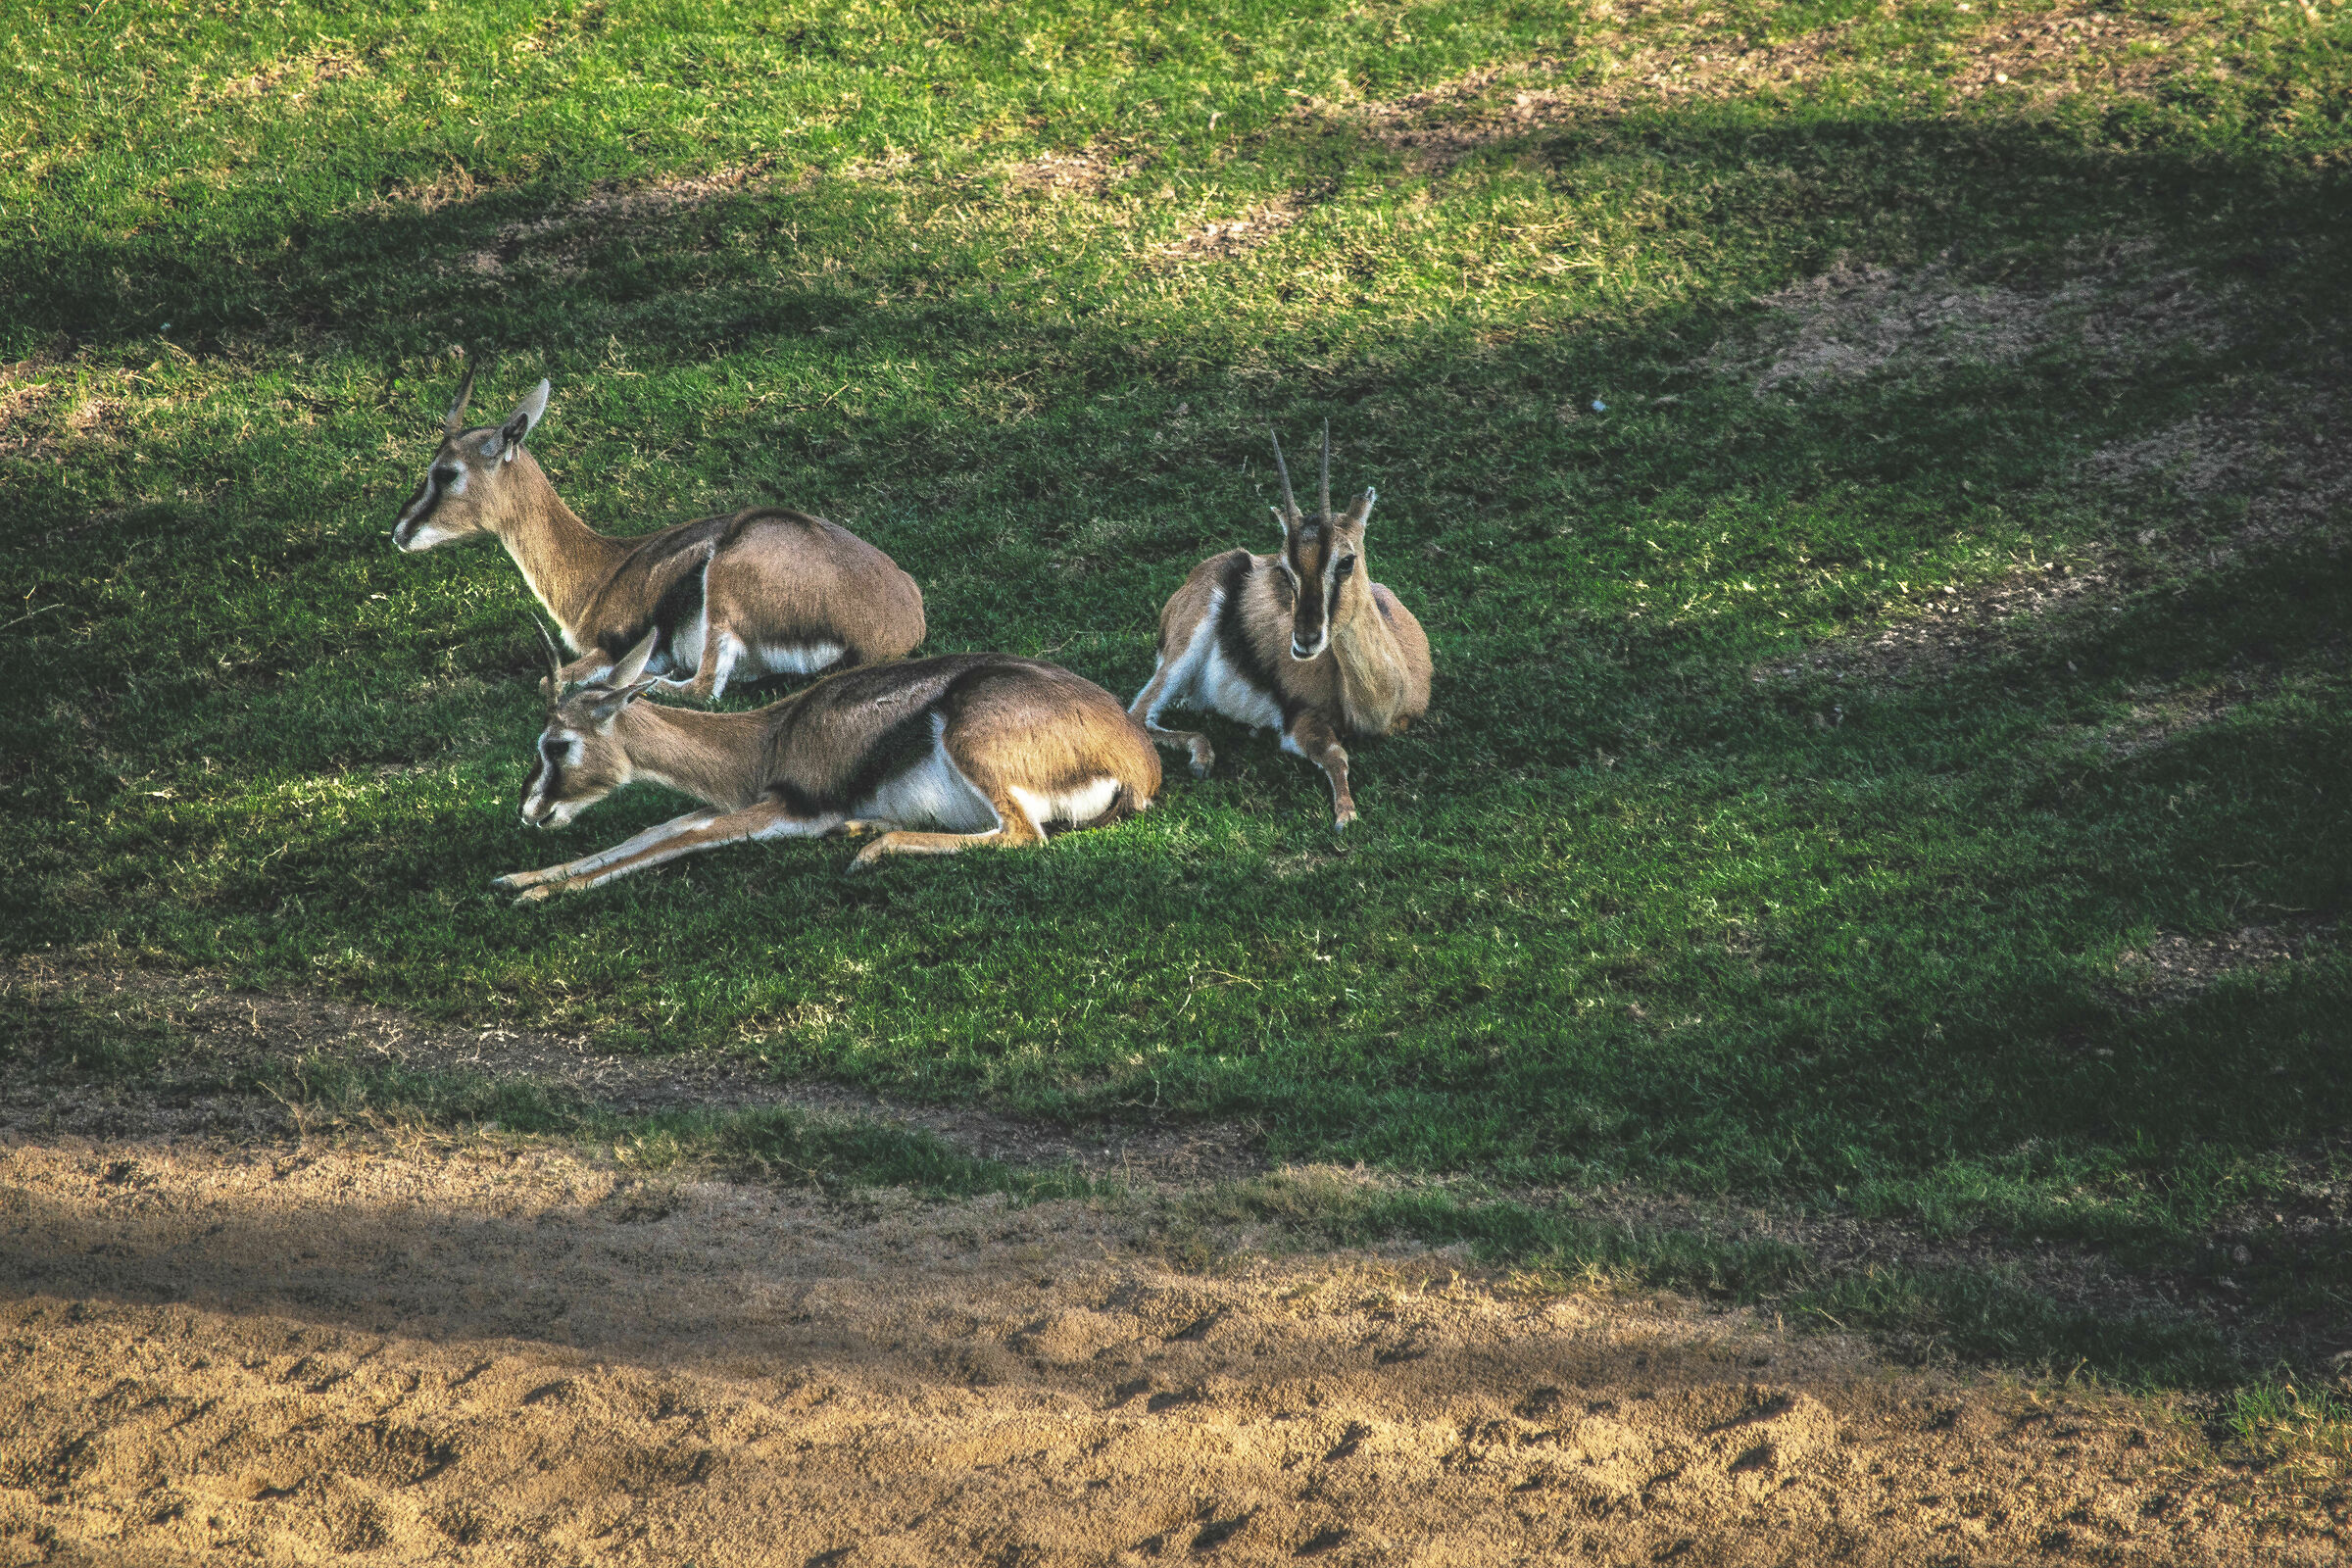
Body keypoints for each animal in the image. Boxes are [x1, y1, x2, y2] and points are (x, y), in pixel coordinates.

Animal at [392, 368, 925, 700]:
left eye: (446, 473)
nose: (399, 531)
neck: (598, 573)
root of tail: (895, 626)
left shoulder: (609, 648)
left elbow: (551, 682)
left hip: (725, 590)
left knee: (702, 690)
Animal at [494, 627, 1161, 899]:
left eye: (555, 744)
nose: (529, 809)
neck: (765, 741)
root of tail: (1139, 761)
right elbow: (654, 829)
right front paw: (517, 879)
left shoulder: (783, 812)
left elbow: (679, 839)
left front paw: (539, 893)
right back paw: (864, 828)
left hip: (976, 746)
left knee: (1024, 835)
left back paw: (871, 847)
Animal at [1127, 424, 1431, 829]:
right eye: (1286, 570)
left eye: (1346, 560)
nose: (1304, 640)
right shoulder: (1300, 721)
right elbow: (1337, 755)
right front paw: (1346, 814)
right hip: (1181, 656)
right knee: (1138, 716)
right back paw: (1202, 757)